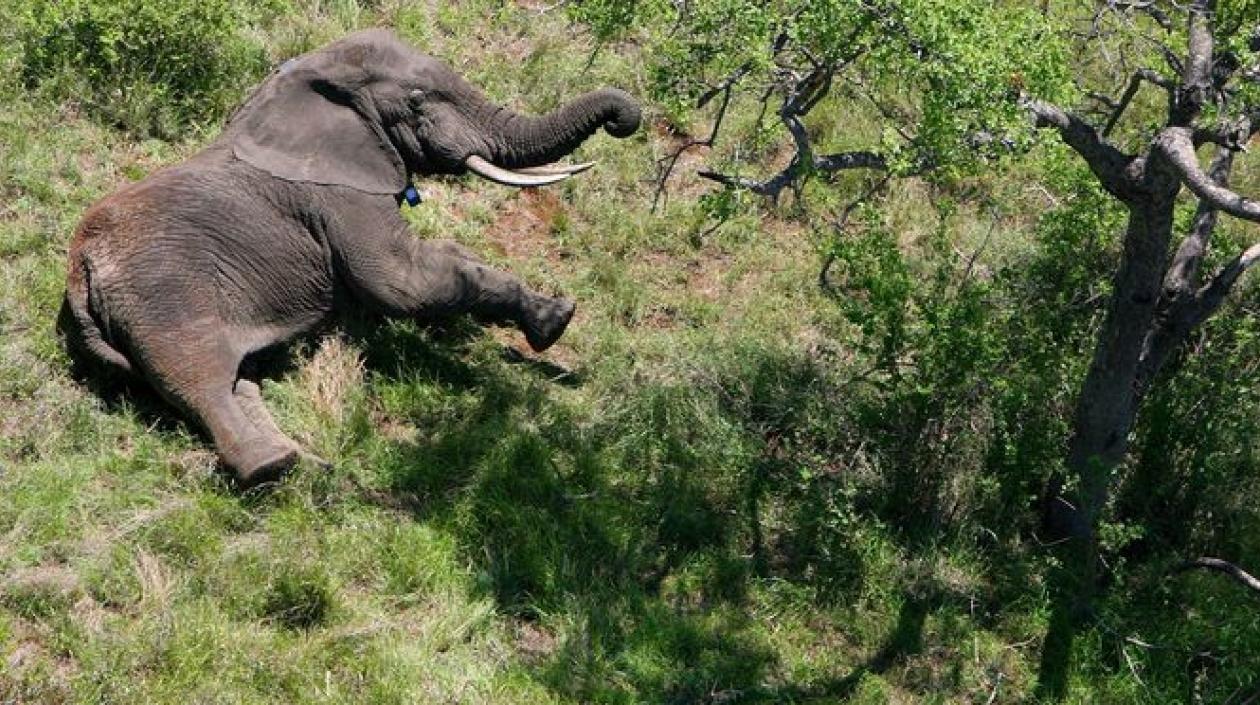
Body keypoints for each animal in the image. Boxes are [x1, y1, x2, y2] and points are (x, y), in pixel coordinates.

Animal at [57, 28, 641, 487]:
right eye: (417, 100)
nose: (623, 120)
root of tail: (80, 268)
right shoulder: (339, 195)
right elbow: (403, 284)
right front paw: (555, 321)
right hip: (162, 292)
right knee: (200, 375)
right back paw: (271, 469)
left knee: (239, 379)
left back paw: (312, 466)